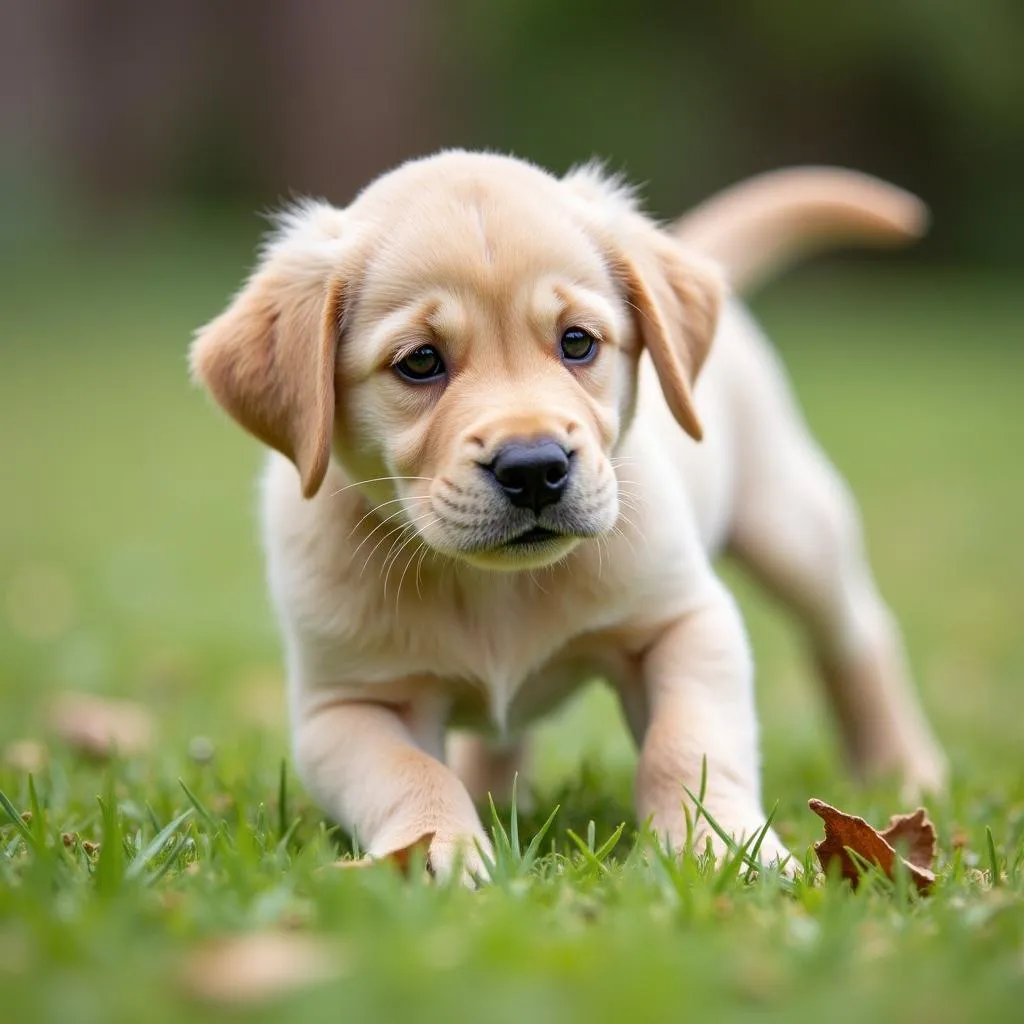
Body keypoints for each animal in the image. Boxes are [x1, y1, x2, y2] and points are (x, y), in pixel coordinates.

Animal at [190, 151, 942, 880]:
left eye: (578, 343)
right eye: (421, 361)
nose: (533, 469)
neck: (492, 585)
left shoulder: (685, 625)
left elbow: (688, 745)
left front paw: (718, 847)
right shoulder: (347, 705)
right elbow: (412, 774)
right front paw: (439, 854)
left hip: (789, 521)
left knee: (858, 632)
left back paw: (905, 769)